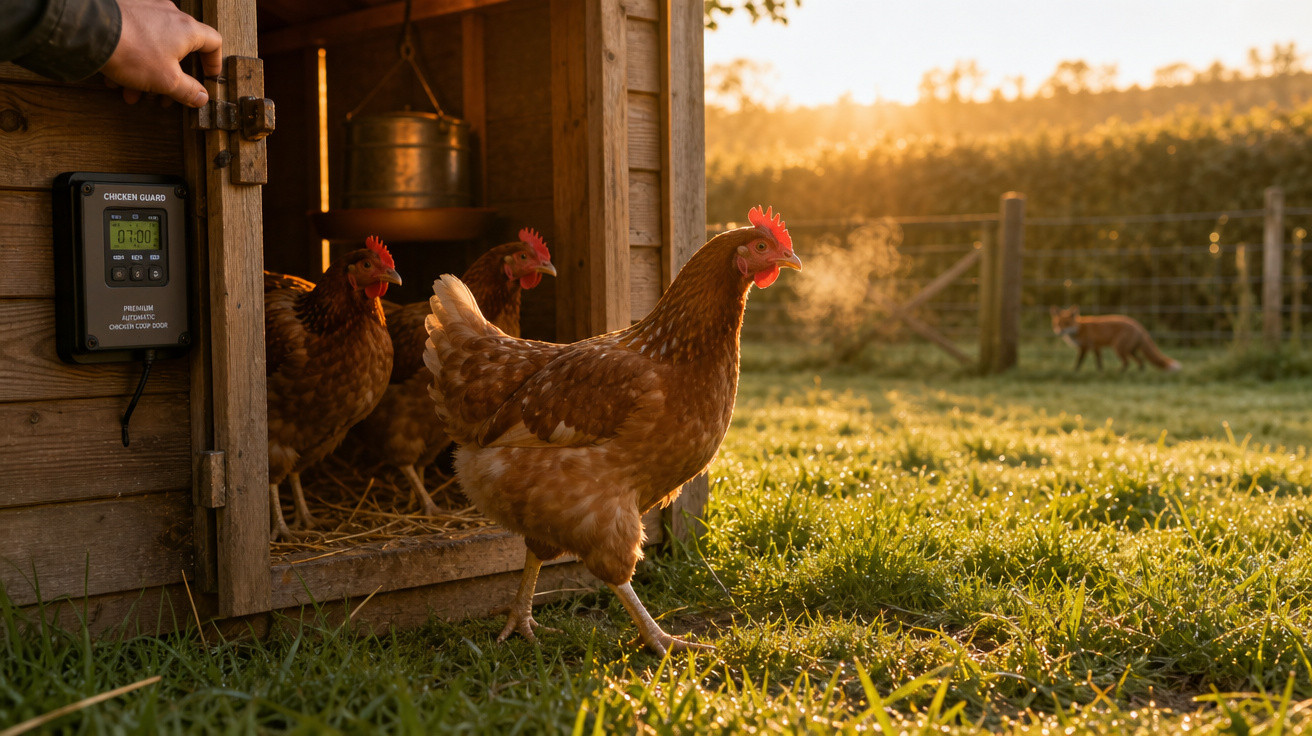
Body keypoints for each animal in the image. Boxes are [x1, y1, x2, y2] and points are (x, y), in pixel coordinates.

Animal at [1050, 306, 1181, 372]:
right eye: (1058, 324)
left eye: (1067, 323)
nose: (1059, 332)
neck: (1079, 328)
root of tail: (1138, 325)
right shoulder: (1096, 347)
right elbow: (1099, 362)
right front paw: (1100, 372)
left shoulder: (1085, 347)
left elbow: (1079, 362)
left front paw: (1075, 371)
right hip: (1130, 350)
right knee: (1141, 361)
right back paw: (1138, 372)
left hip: (1119, 349)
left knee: (1128, 362)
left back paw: (1120, 372)